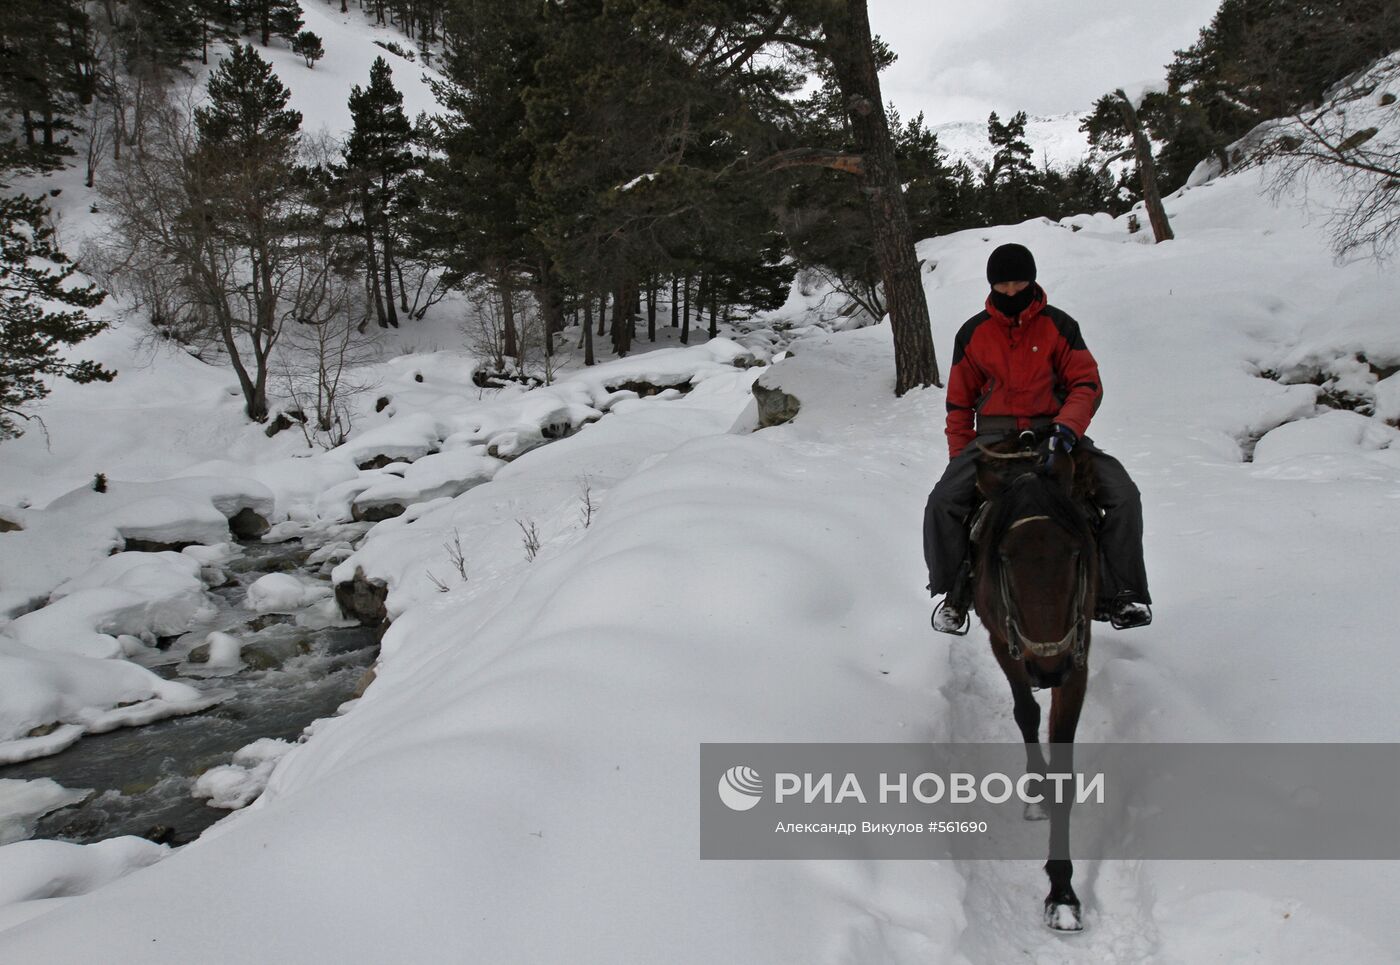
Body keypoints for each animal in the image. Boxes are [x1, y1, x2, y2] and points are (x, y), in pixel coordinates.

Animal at [968, 428, 1097, 924]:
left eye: (1075, 551)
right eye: (1004, 556)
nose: (1048, 667)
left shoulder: (1078, 657)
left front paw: (1062, 891)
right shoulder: (1001, 641)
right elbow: (1026, 712)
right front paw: (1037, 786)